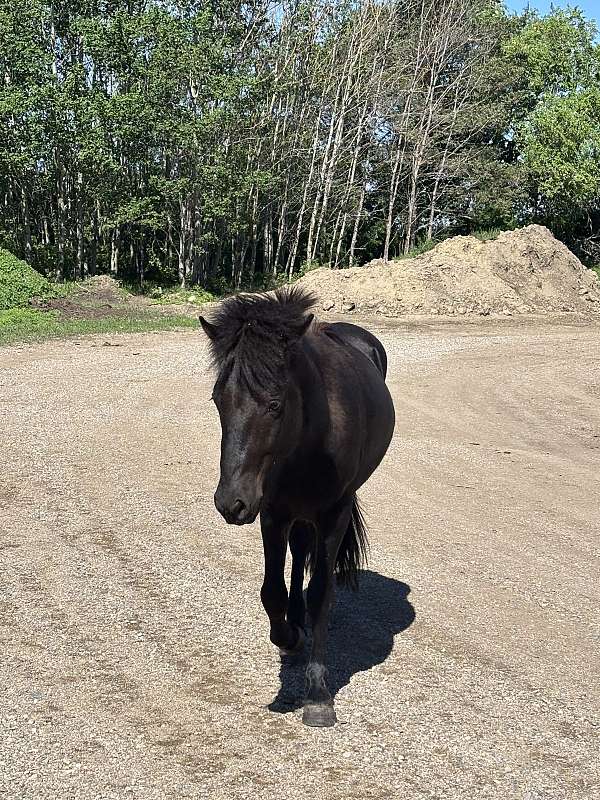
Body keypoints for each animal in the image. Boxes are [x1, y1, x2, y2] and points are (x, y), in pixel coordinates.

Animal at [200, 286, 395, 727]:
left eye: (275, 405)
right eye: (219, 400)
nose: (230, 502)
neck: (311, 436)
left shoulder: (333, 514)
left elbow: (322, 593)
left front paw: (318, 692)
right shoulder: (272, 512)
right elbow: (270, 591)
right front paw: (287, 636)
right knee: (299, 550)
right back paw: (294, 619)